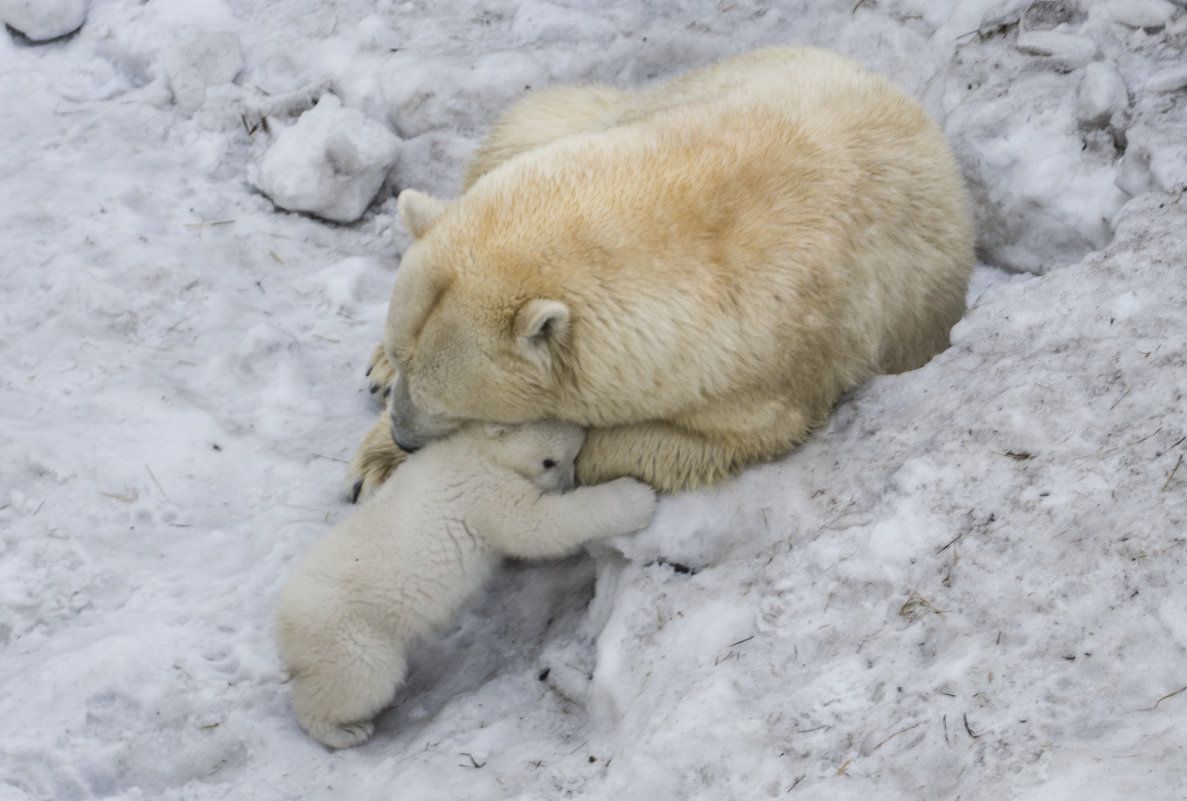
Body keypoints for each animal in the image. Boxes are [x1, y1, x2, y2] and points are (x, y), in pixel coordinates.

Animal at [346, 46, 973, 498]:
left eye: (453, 405)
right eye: (408, 362)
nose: (402, 436)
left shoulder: (770, 370)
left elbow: (704, 441)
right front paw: (376, 461)